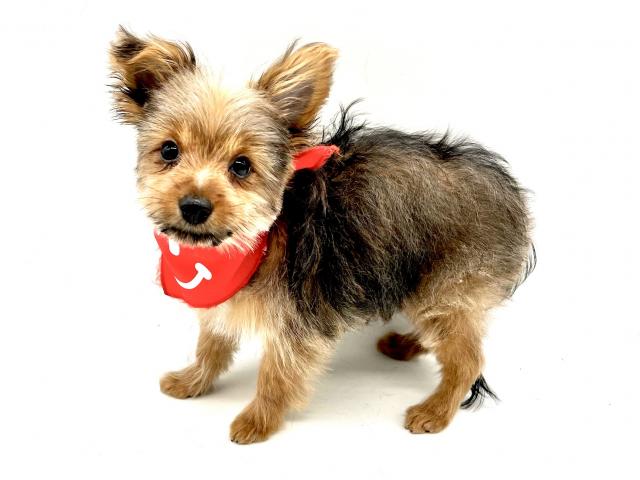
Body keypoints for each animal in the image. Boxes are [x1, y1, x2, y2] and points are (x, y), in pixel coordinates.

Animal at [109, 27, 534, 444]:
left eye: (241, 166)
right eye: (169, 151)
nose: (194, 206)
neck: (252, 241)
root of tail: (511, 194)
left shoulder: (297, 323)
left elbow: (276, 374)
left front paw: (258, 420)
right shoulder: (223, 305)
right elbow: (211, 344)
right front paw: (193, 381)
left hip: (445, 287)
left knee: (467, 358)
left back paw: (436, 410)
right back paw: (405, 343)